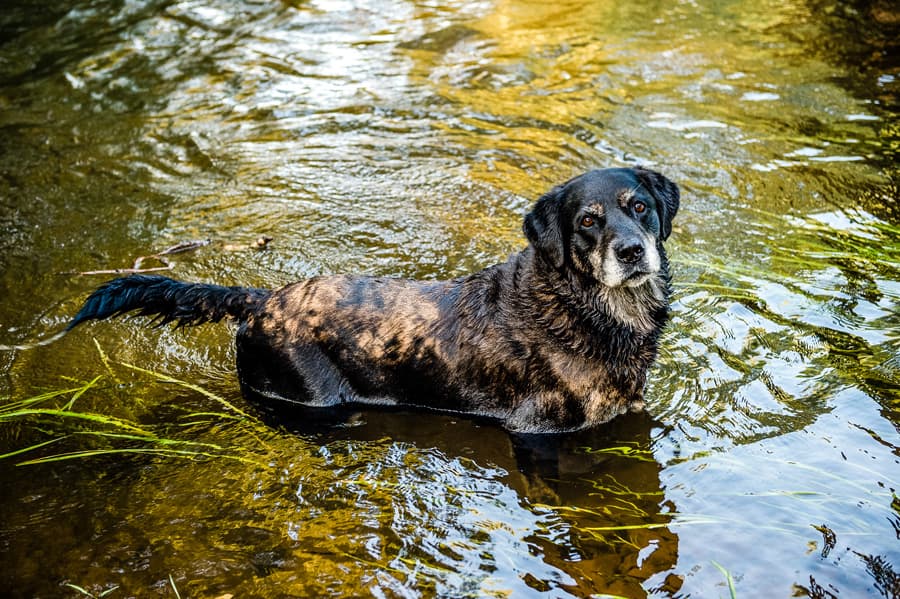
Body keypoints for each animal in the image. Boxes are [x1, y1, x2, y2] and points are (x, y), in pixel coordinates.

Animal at [68, 166, 676, 434]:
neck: (582, 306)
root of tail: (262, 301)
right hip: (308, 395)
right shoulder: (537, 433)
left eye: (639, 205)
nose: (631, 250)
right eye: (587, 222)